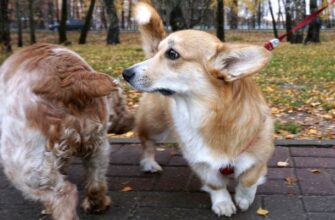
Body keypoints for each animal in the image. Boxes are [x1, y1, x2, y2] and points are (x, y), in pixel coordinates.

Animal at [123, 2, 276, 217]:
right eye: (159, 51)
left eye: (172, 54)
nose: (125, 73)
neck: (213, 116)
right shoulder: (201, 161)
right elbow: (216, 185)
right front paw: (223, 204)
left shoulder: (259, 155)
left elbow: (248, 179)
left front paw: (243, 199)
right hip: (157, 127)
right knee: (146, 143)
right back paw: (149, 163)